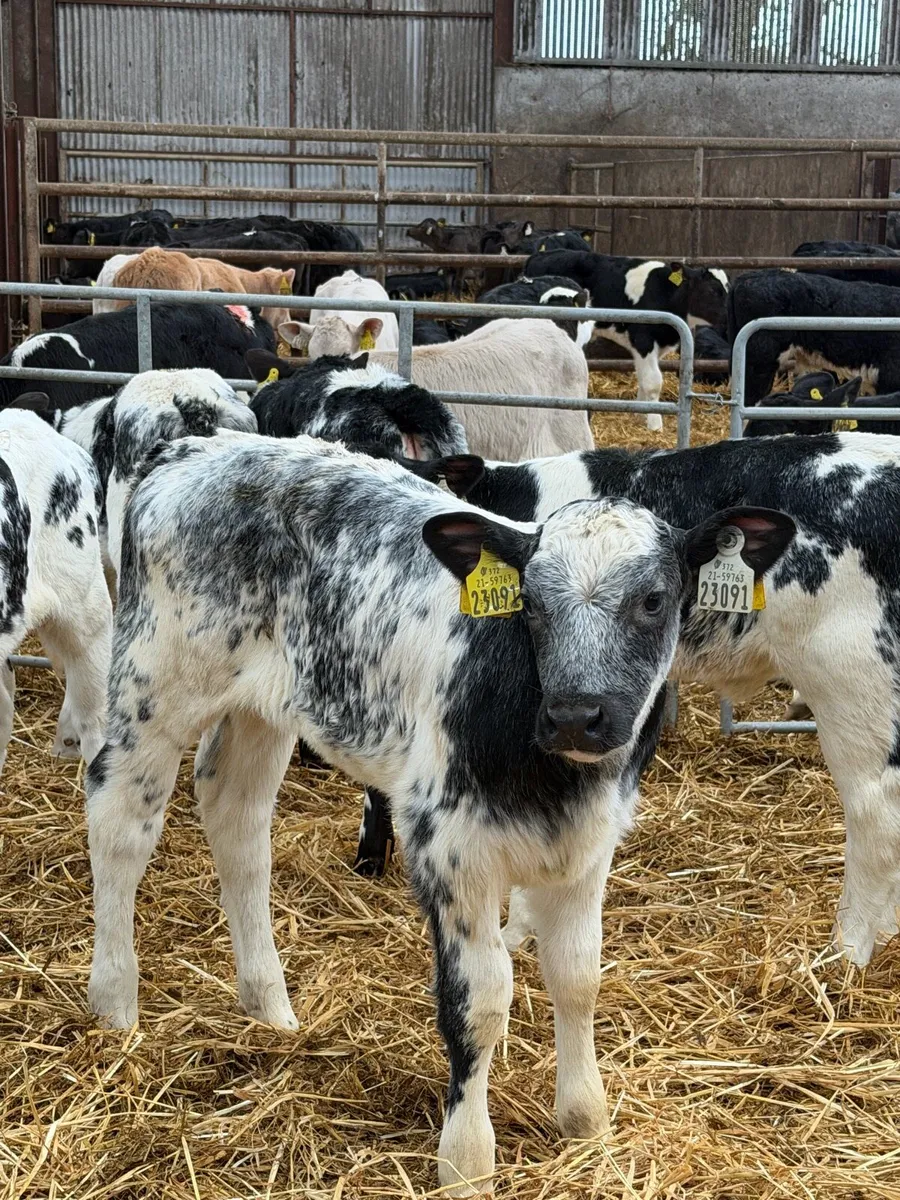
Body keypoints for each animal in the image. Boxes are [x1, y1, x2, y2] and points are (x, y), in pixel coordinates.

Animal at [83, 428, 793, 1197]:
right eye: (530, 603)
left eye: (655, 599)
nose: (576, 715)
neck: (551, 770)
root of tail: (198, 445)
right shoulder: (446, 845)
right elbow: (479, 1000)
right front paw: (466, 1161)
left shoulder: (590, 843)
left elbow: (578, 974)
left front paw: (586, 1123)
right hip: (155, 684)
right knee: (119, 819)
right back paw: (115, 1009)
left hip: (264, 708)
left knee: (236, 821)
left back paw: (269, 1007)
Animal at [524, 250, 729, 431]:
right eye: (712, 290)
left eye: (727, 289)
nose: (727, 317)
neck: (665, 293)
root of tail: (539, 255)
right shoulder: (643, 339)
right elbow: (653, 382)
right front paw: (655, 425)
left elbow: (643, 379)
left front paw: (640, 414)